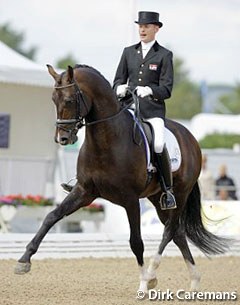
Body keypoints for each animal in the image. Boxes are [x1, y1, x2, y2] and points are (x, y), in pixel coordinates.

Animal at [15, 63, 229, 292]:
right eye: (53, 99)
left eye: (70, 100)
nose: (62, 138)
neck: (106, 140)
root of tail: (190, 138)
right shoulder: (84, 192)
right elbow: (51, 216)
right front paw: (24, 260)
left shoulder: (130, 199)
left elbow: (136, 241)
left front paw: (143, 283)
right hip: (158, 198)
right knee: (178, 232)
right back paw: (194, 281)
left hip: (179, 194)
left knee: (169, 230)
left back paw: (152, 273)